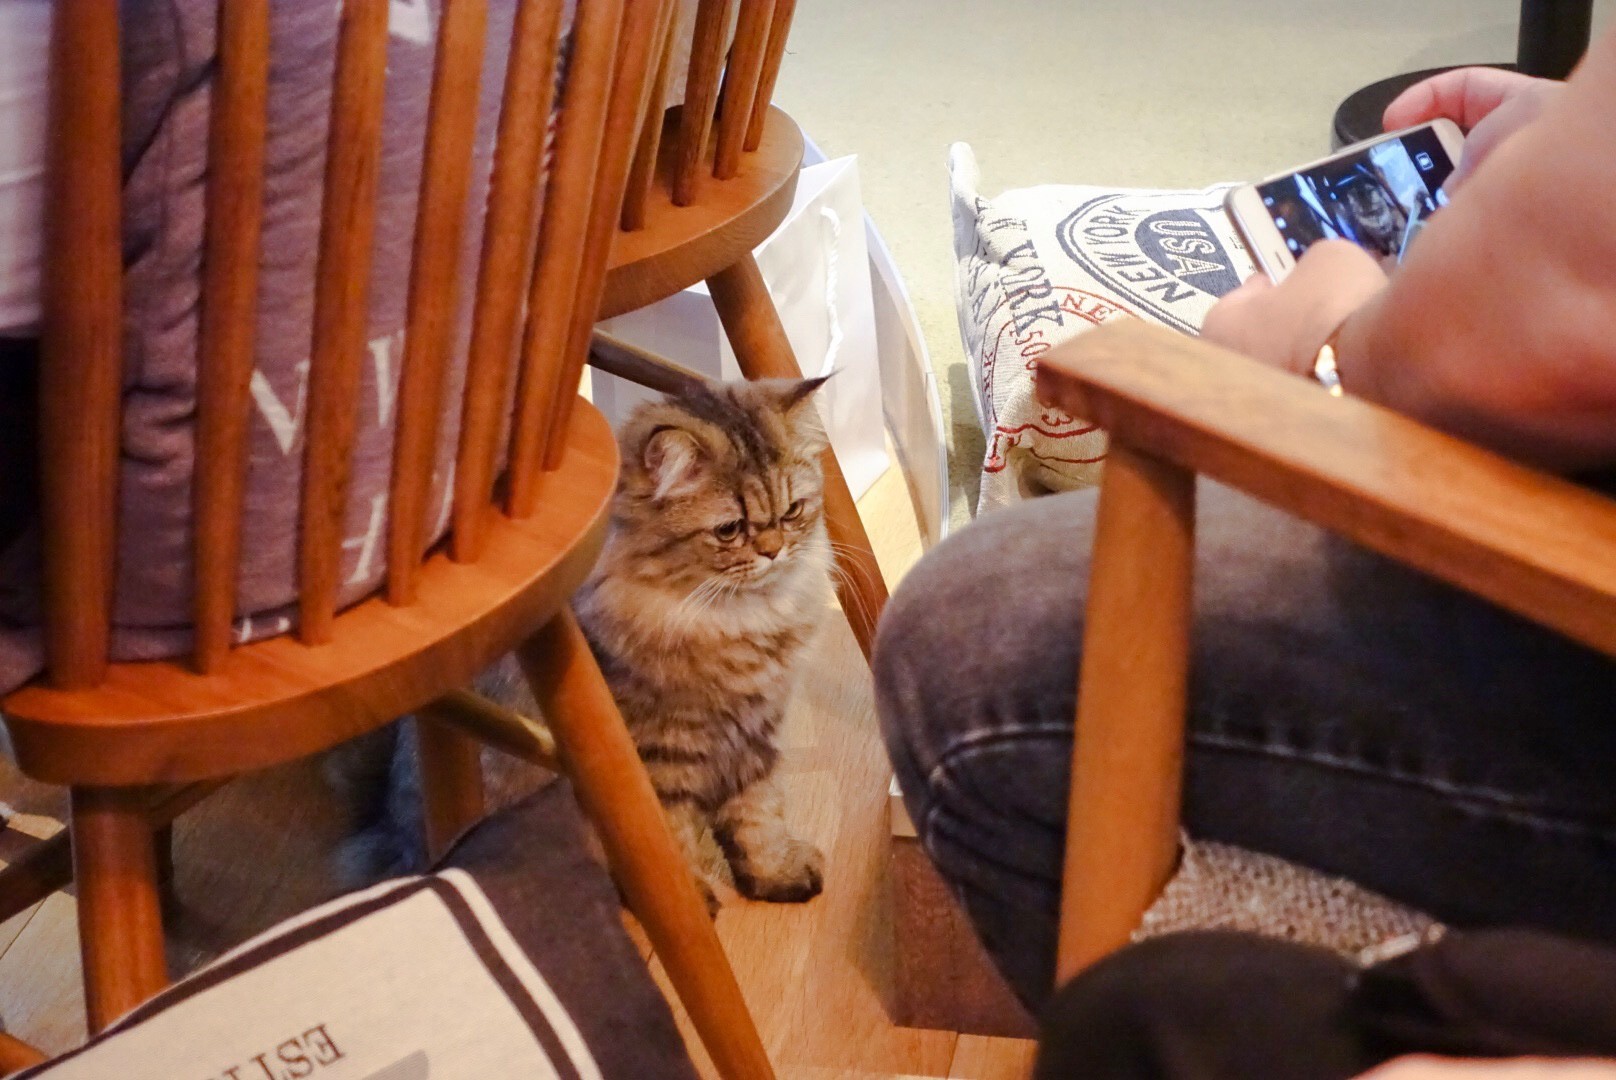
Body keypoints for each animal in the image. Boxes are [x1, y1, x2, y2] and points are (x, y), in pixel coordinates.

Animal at [574, 375, 834, 912]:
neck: (731, 624)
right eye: (729, 529)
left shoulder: (755, 734)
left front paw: (775, 875)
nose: (773, 551)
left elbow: (759, 818)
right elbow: (669, 844)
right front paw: (690, 903)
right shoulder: (659, 755)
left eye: (792, 512)